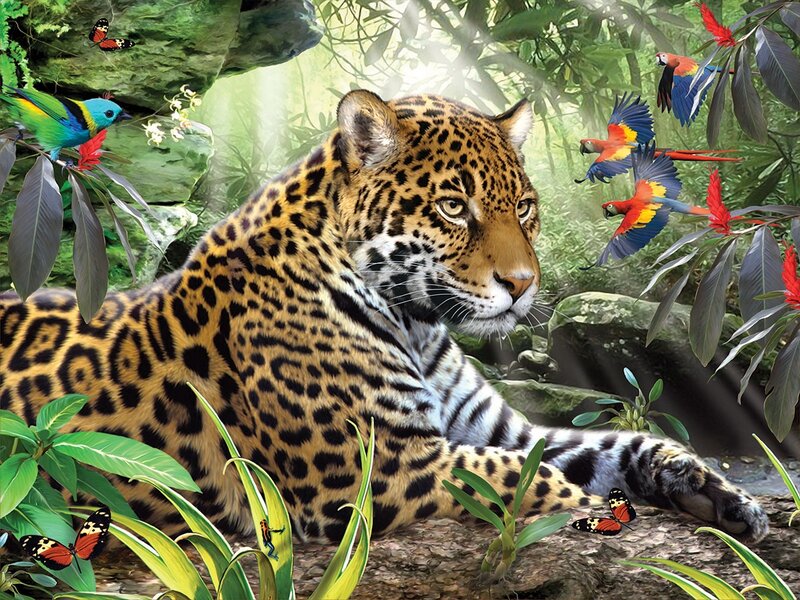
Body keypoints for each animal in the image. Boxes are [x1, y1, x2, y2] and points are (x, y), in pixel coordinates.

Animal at [0, 90, 768, 544]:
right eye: (454, 207)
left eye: (523, 207)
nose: (523, 286)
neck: (419, 322)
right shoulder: (375, 469)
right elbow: (525, 478)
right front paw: (594, 510)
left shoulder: (499, 430)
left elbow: (615, 446)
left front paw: (718, 493)